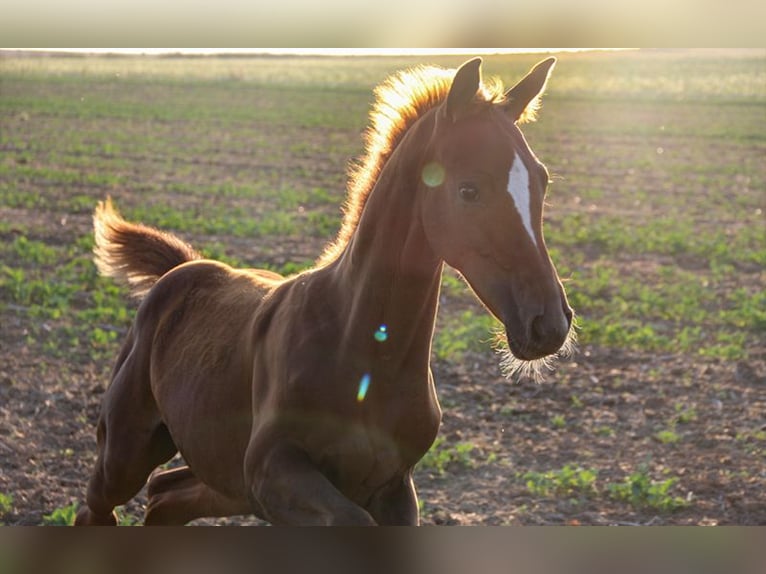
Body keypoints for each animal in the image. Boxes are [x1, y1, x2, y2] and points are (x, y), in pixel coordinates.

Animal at [73, 57, 576, 528]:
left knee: (165, 496)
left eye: (542, 180)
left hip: (223, 478)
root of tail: (183, 266)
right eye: (469, 189)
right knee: (100, 506)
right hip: (128, 451)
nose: (548, 323)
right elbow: (352, 520)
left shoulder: (395, 487)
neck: (362, 351)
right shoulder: (270, 470)